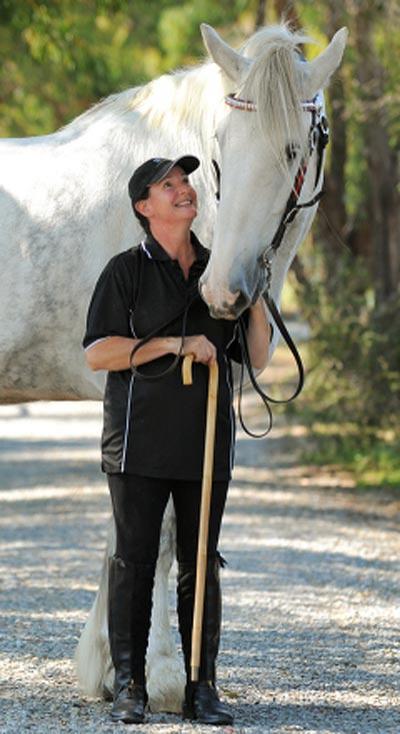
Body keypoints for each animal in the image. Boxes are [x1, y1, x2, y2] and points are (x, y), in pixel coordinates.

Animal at [0, 21, 346, 712]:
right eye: (221, 146)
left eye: (294, 150)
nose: (223, 293)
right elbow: (153, 533)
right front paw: (157, 676)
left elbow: (133, 533)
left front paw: (111, 667)